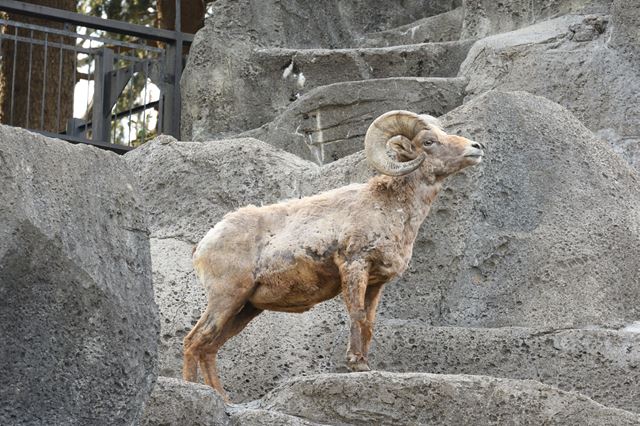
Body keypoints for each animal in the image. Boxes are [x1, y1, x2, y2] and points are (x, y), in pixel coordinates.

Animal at [184, 109, 484, 400]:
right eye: (428, 141)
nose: (476, 147)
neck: (391, 210)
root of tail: (204, 245)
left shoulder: (376, 283)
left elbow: (369, 322)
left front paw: (364, 363)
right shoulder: (354, 265)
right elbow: (357, 314)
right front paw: (356, 364)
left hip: (245, 308)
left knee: (208, 348)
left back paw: (223, 398)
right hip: (226, 298)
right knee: (193, 342)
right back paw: (195, 390)